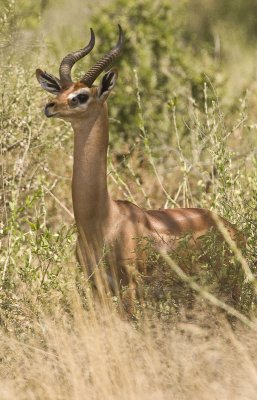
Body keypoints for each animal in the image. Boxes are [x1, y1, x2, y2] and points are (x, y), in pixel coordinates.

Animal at [36, 24, 240, 306]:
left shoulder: (131, 287)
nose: (50, 106)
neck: (103, 219)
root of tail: (235, 231)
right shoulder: (97, 285)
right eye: (60, 90)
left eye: (81, 95)